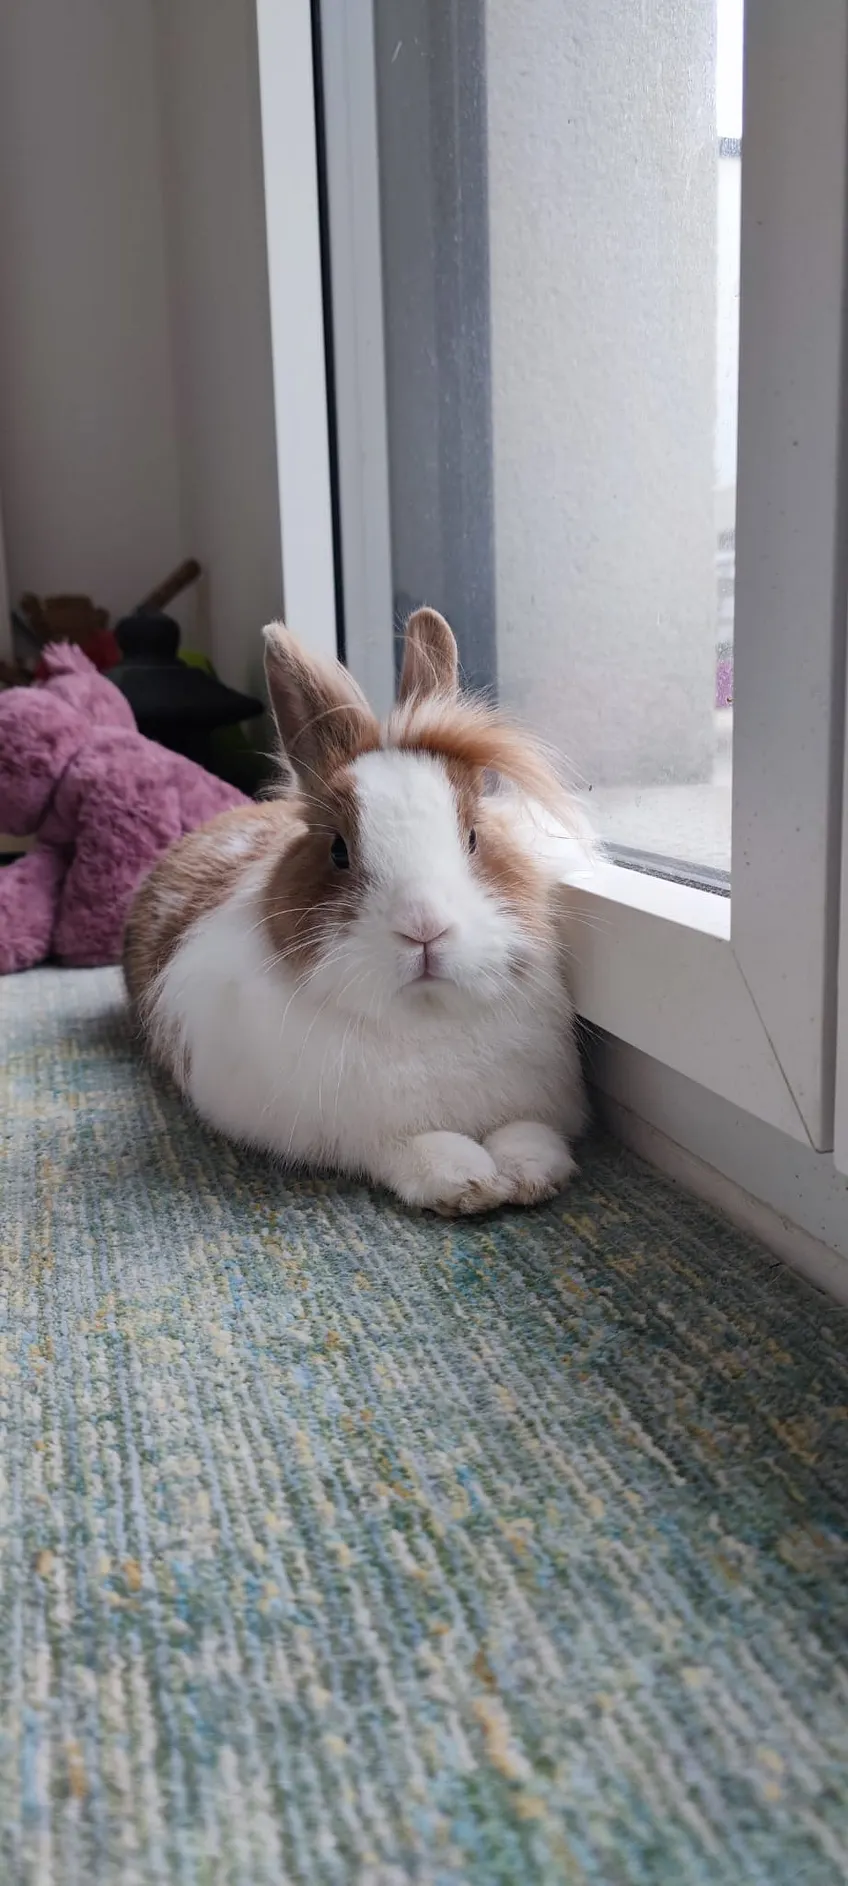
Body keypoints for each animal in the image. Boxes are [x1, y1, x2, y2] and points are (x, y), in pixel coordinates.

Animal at [123, 608, 589, 1216]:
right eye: (339, 850)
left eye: (473, 836)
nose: (423, 928)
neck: (426, 1018)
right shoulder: (351, 1133)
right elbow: (405, 1146)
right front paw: (467, 1181)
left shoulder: (538, 1102)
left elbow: (531, 1132)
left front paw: (530, 1172)